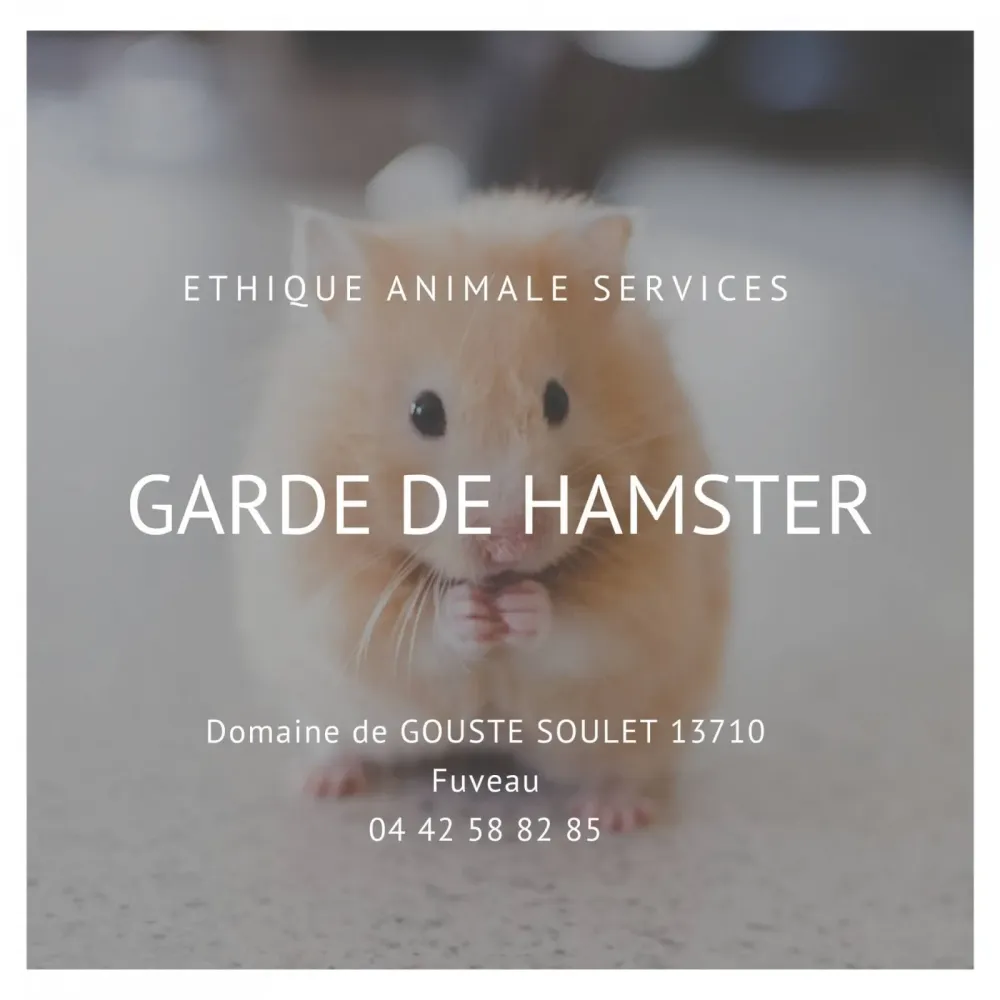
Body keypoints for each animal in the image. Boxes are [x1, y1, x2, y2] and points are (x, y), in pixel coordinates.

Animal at [233, 190, 730, 833]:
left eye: (557, 401)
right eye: (424, 411)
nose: (509, 542)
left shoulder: (652, 586)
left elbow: (585, 627)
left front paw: (520, 608)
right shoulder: (326, 584)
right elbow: (406, 631)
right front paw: (470, 614)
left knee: (625, 767)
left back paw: (613, 813)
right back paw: (322, 781)